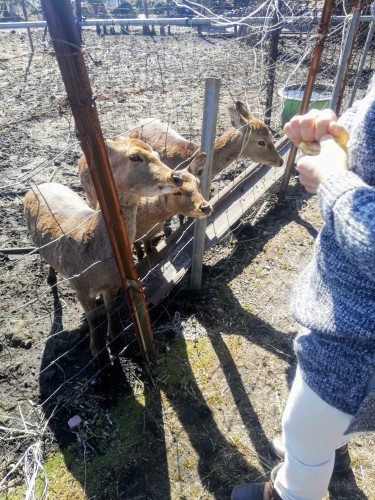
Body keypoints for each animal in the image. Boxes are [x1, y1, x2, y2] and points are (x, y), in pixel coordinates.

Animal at [25, 139, 187, 362]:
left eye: (156, 153)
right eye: (134, 156)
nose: (177, 177)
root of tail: (35, 187)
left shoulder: (114, 284)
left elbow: (111, 308)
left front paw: (115, 339)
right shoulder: (79, 286)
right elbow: (92, 317)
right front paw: (97, 350)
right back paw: (50, 278)